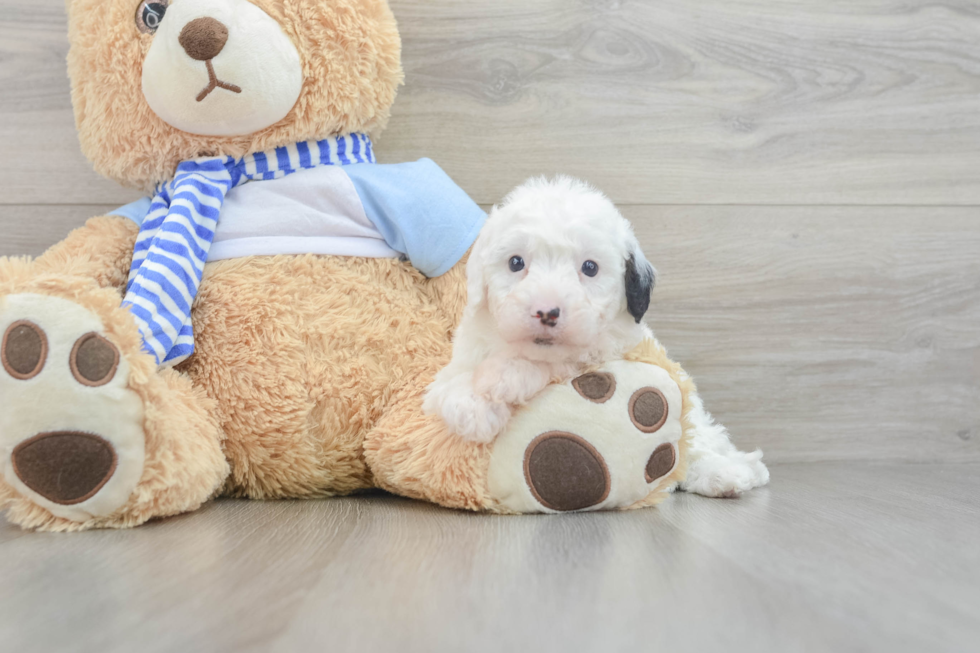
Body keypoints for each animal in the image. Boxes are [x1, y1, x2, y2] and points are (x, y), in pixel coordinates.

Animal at [424, 176, 768, 496]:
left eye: (590, 267)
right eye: (516, 263)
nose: (546, 312)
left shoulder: (604, 351)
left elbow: (558, 362)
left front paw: (505, 376)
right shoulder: (464, 354)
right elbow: (451, 382)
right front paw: (473, 406)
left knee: (703, 440)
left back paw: (727, 472)